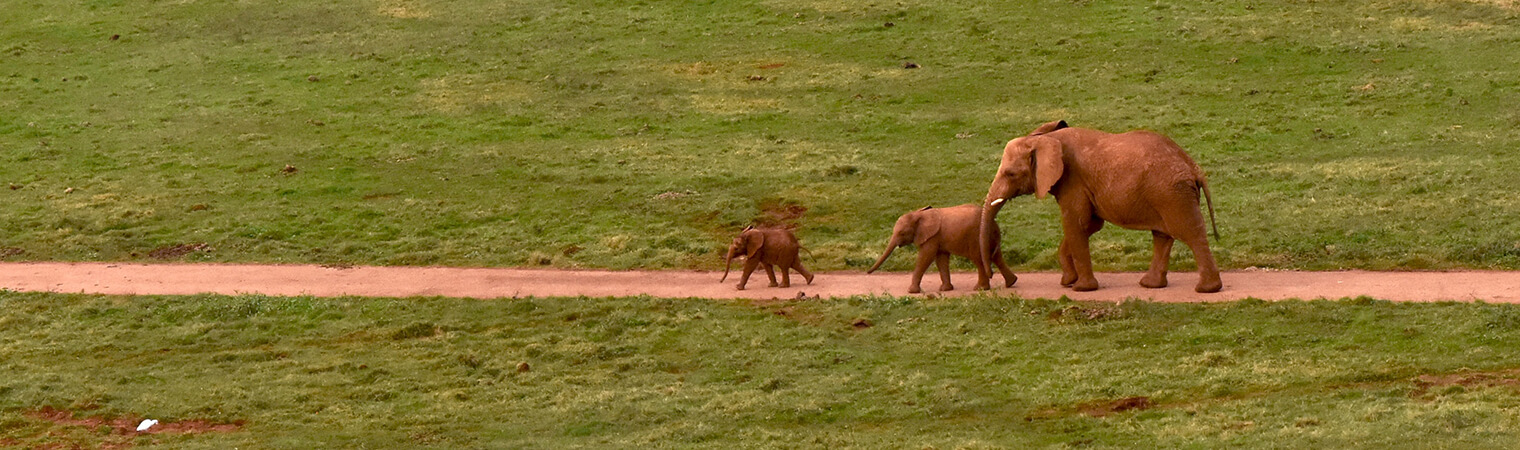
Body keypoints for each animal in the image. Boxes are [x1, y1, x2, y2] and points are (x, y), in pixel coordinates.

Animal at [869, 205, 1021, 294]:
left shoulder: (932, 237)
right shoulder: (938, 238)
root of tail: (994, 223)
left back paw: (980, 289)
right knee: (996, 257)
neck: (919, 214)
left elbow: (925, 257)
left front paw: (911, 291)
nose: (868, 272)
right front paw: (946, 290)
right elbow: (941, 259)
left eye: (901, 233)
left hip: (975, 237)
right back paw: (1011, 282)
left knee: (979, 259)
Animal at [984, 121, 1222, 293]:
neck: (1046, 139)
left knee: (1189, 232)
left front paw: (1081, 289)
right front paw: (1068, 281)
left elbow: (1075, 223)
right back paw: (1150, 285)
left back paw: (1207, 289)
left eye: (1010, 174)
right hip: (1168, 194)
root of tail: (1194, 166)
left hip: (1171, 193)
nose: (1001, 282)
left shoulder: (1073, 181)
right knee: (1162, 236)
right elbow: (1090, 225)